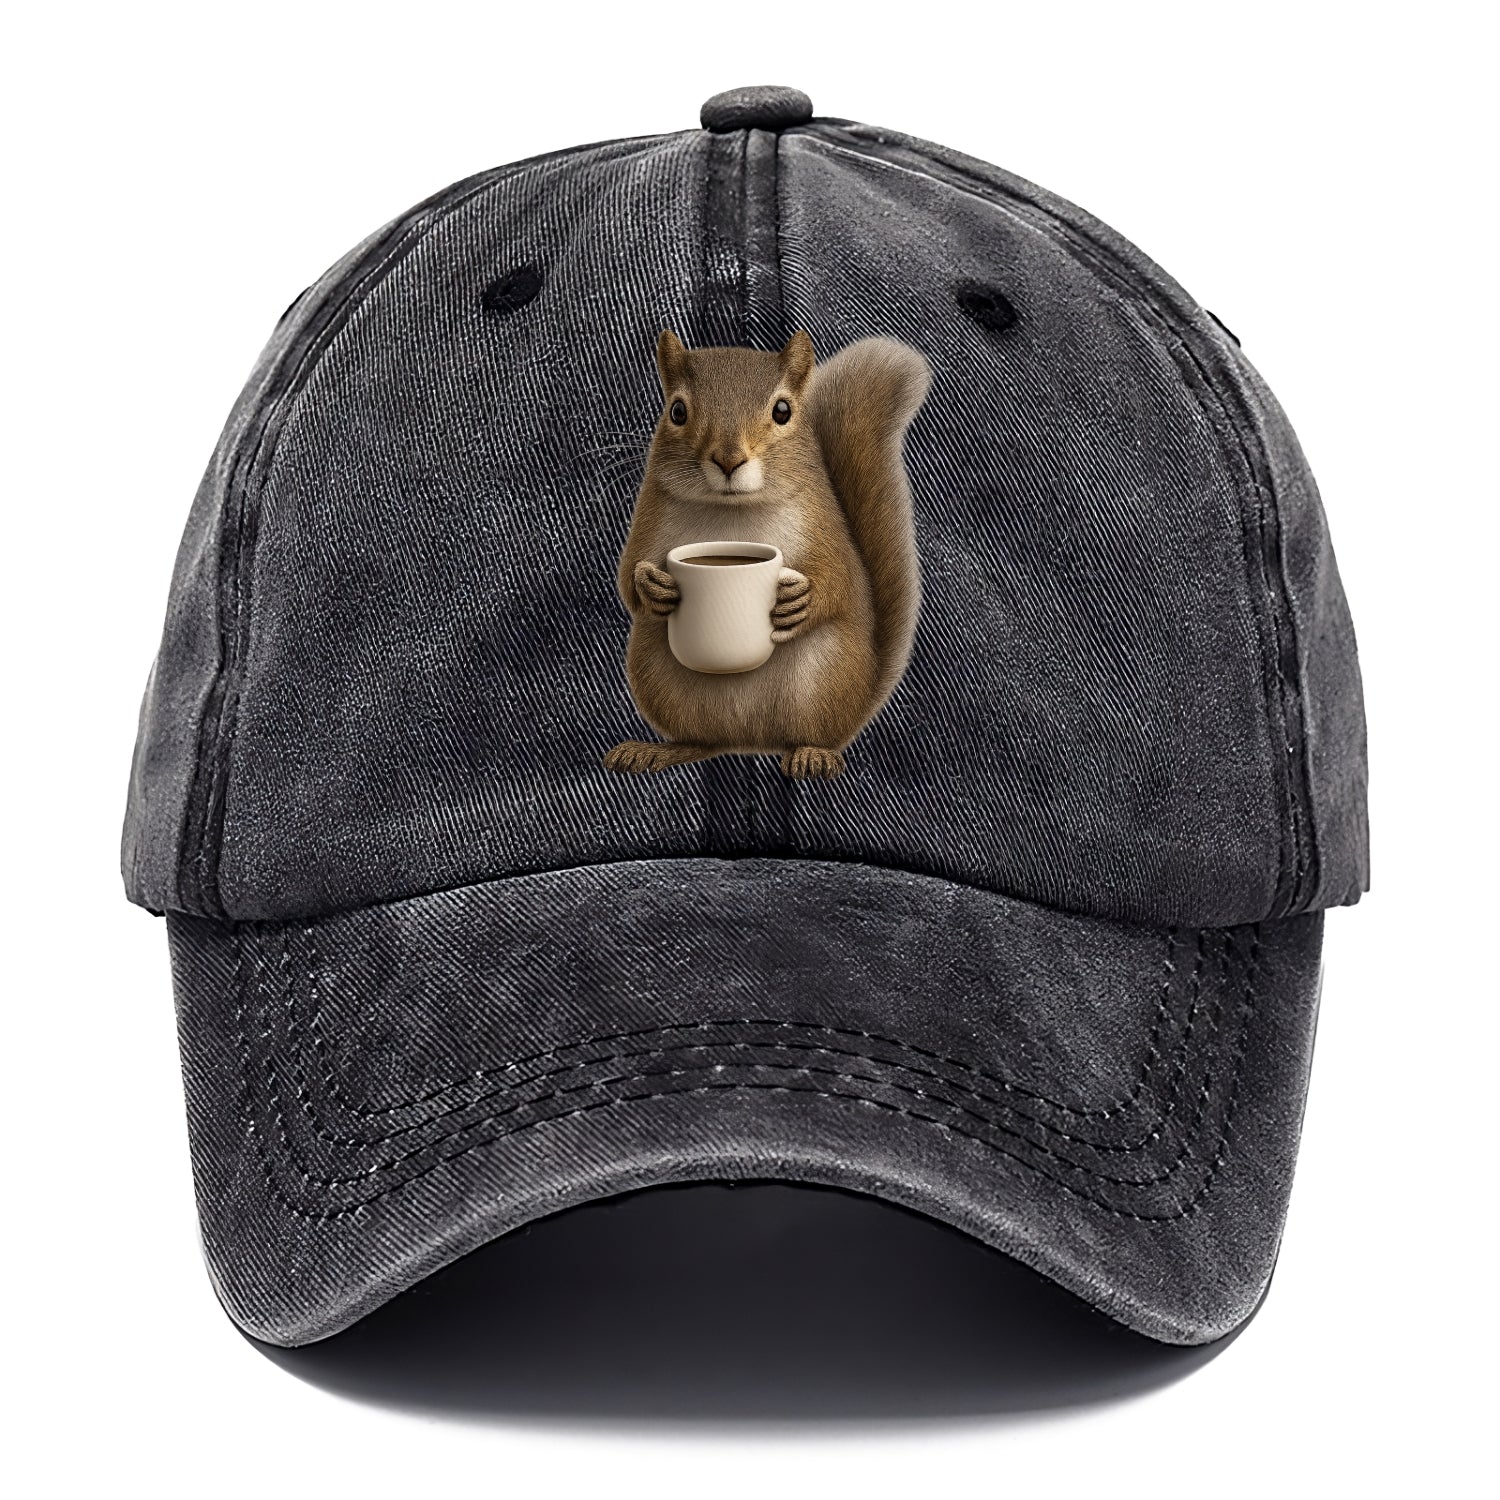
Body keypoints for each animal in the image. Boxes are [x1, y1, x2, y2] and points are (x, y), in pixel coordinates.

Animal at [604, 329, 931, 780]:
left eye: (782, 411)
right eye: (677, 411)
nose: (729, 460)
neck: (732, 513)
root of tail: (750, 740)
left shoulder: (823, 524)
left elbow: (841, 576)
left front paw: (802, 601)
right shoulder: (650, 520)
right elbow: (627, 575)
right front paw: (650, 585)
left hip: (825, 675)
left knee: (814, 733)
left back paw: (813, 754)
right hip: (659, 674)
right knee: (704, 741)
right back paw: (658, 751)